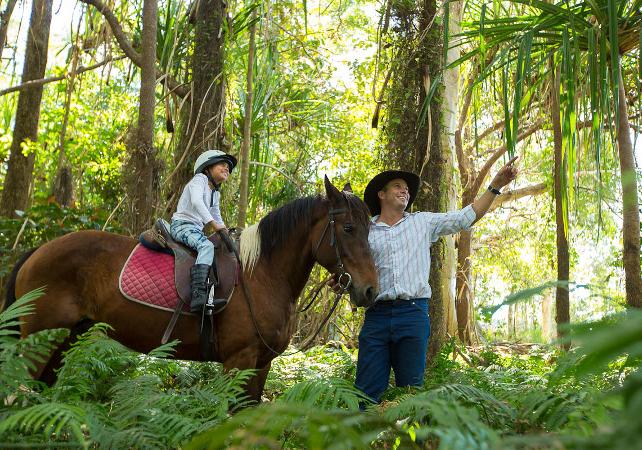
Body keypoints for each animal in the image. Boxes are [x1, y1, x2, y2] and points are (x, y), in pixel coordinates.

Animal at [2, 176, 378, 400]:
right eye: (348, 228)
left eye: (369, 229)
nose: (371, 291)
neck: (263, 276)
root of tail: (38, 251)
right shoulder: (238, 361)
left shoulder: (261, 364)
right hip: (40, 341)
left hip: (64, 338)